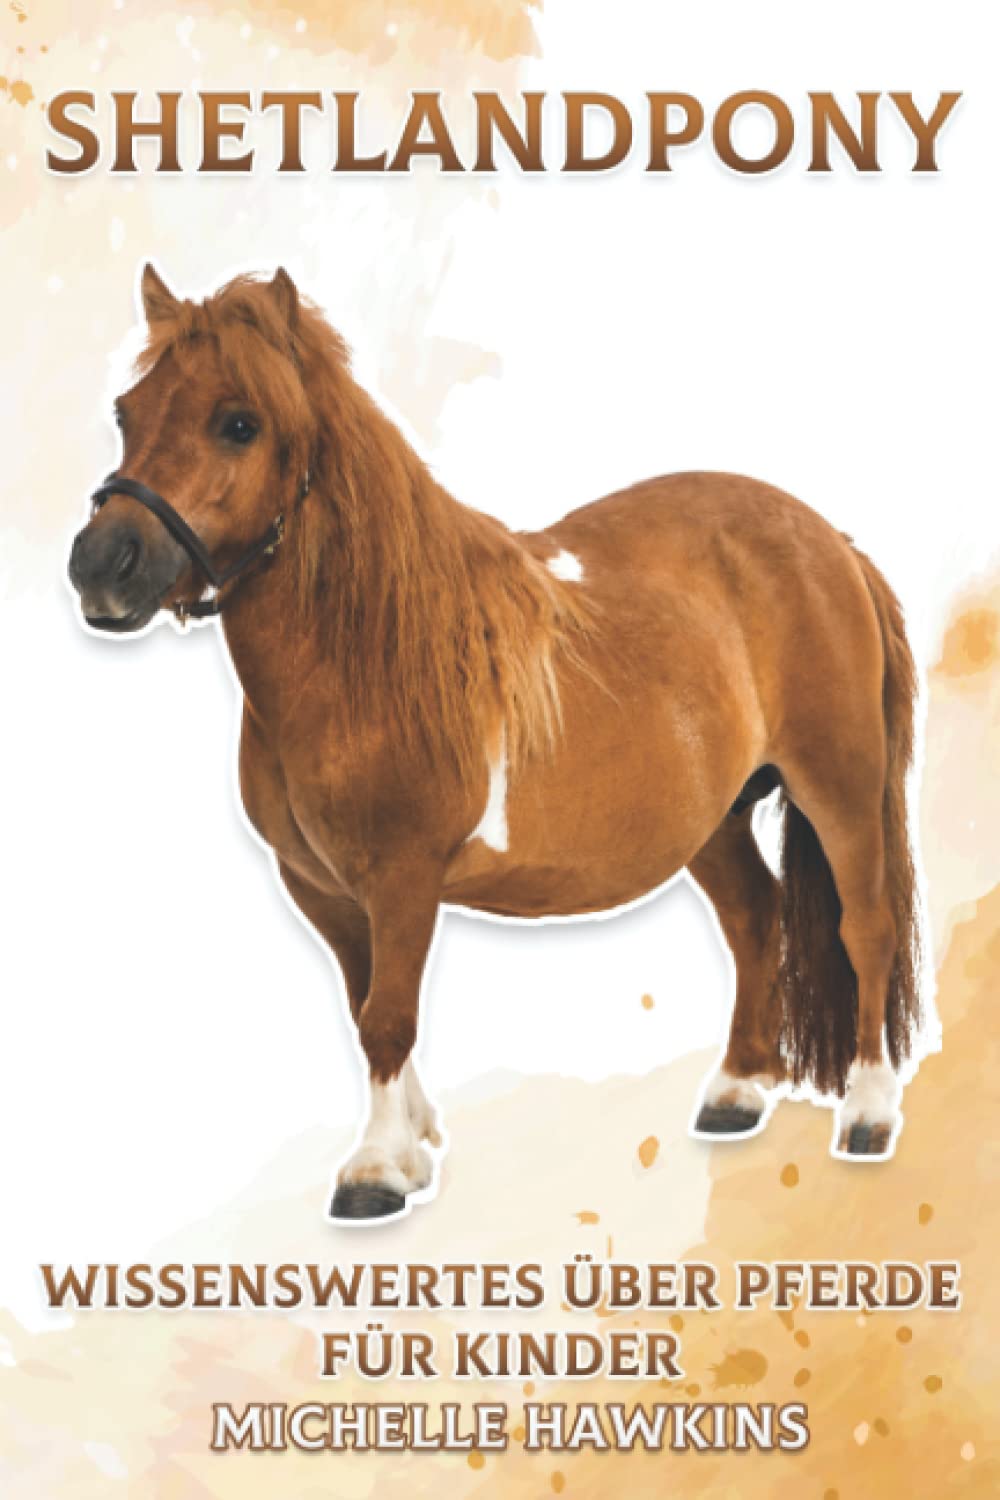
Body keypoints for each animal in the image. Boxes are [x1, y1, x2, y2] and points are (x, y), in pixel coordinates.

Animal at [67, 265, 923, 1220]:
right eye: (127, 412)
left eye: (238, 422)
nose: (101, 566)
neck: (365, 654)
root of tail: (829, 541)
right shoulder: (321, 887)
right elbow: (365, 1005)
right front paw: (413, 1144)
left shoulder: (403, 879)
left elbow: (387, 1017)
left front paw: (375, 1171)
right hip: (713, 818)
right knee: (755, 916)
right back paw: (736, 1093)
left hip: (839, 785)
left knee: (866, 926)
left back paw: (869, 1114)